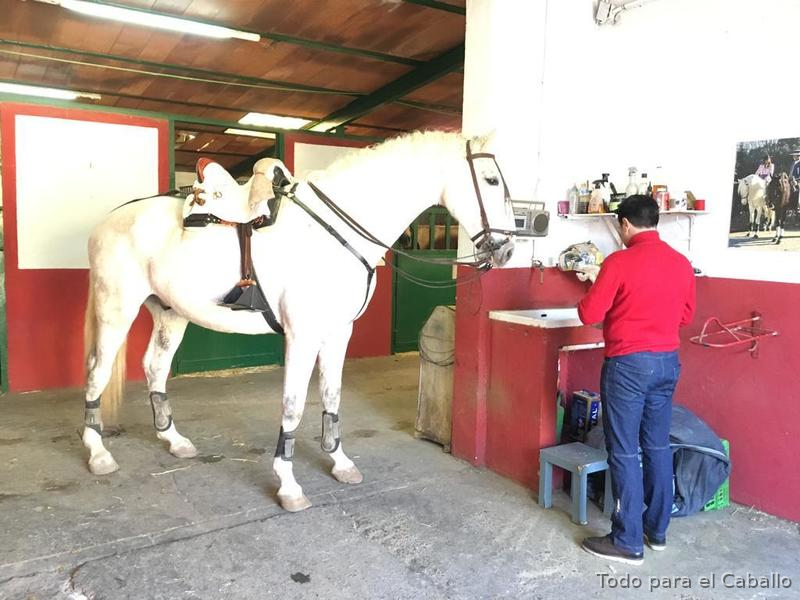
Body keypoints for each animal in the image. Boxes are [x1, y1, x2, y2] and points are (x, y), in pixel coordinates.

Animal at [81, 130, 516, 512]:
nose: (508, 250)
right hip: (115, 310)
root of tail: (107, 221)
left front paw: (340, 463)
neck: (334, 233)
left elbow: (331, 396)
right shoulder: (301, 336)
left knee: (155, 369)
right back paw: (98, 454)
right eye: (492, 180)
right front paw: (289, 485)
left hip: (170, 313)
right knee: (97, 373)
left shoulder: (339, 332)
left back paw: (174, 441)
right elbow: (292, 405)